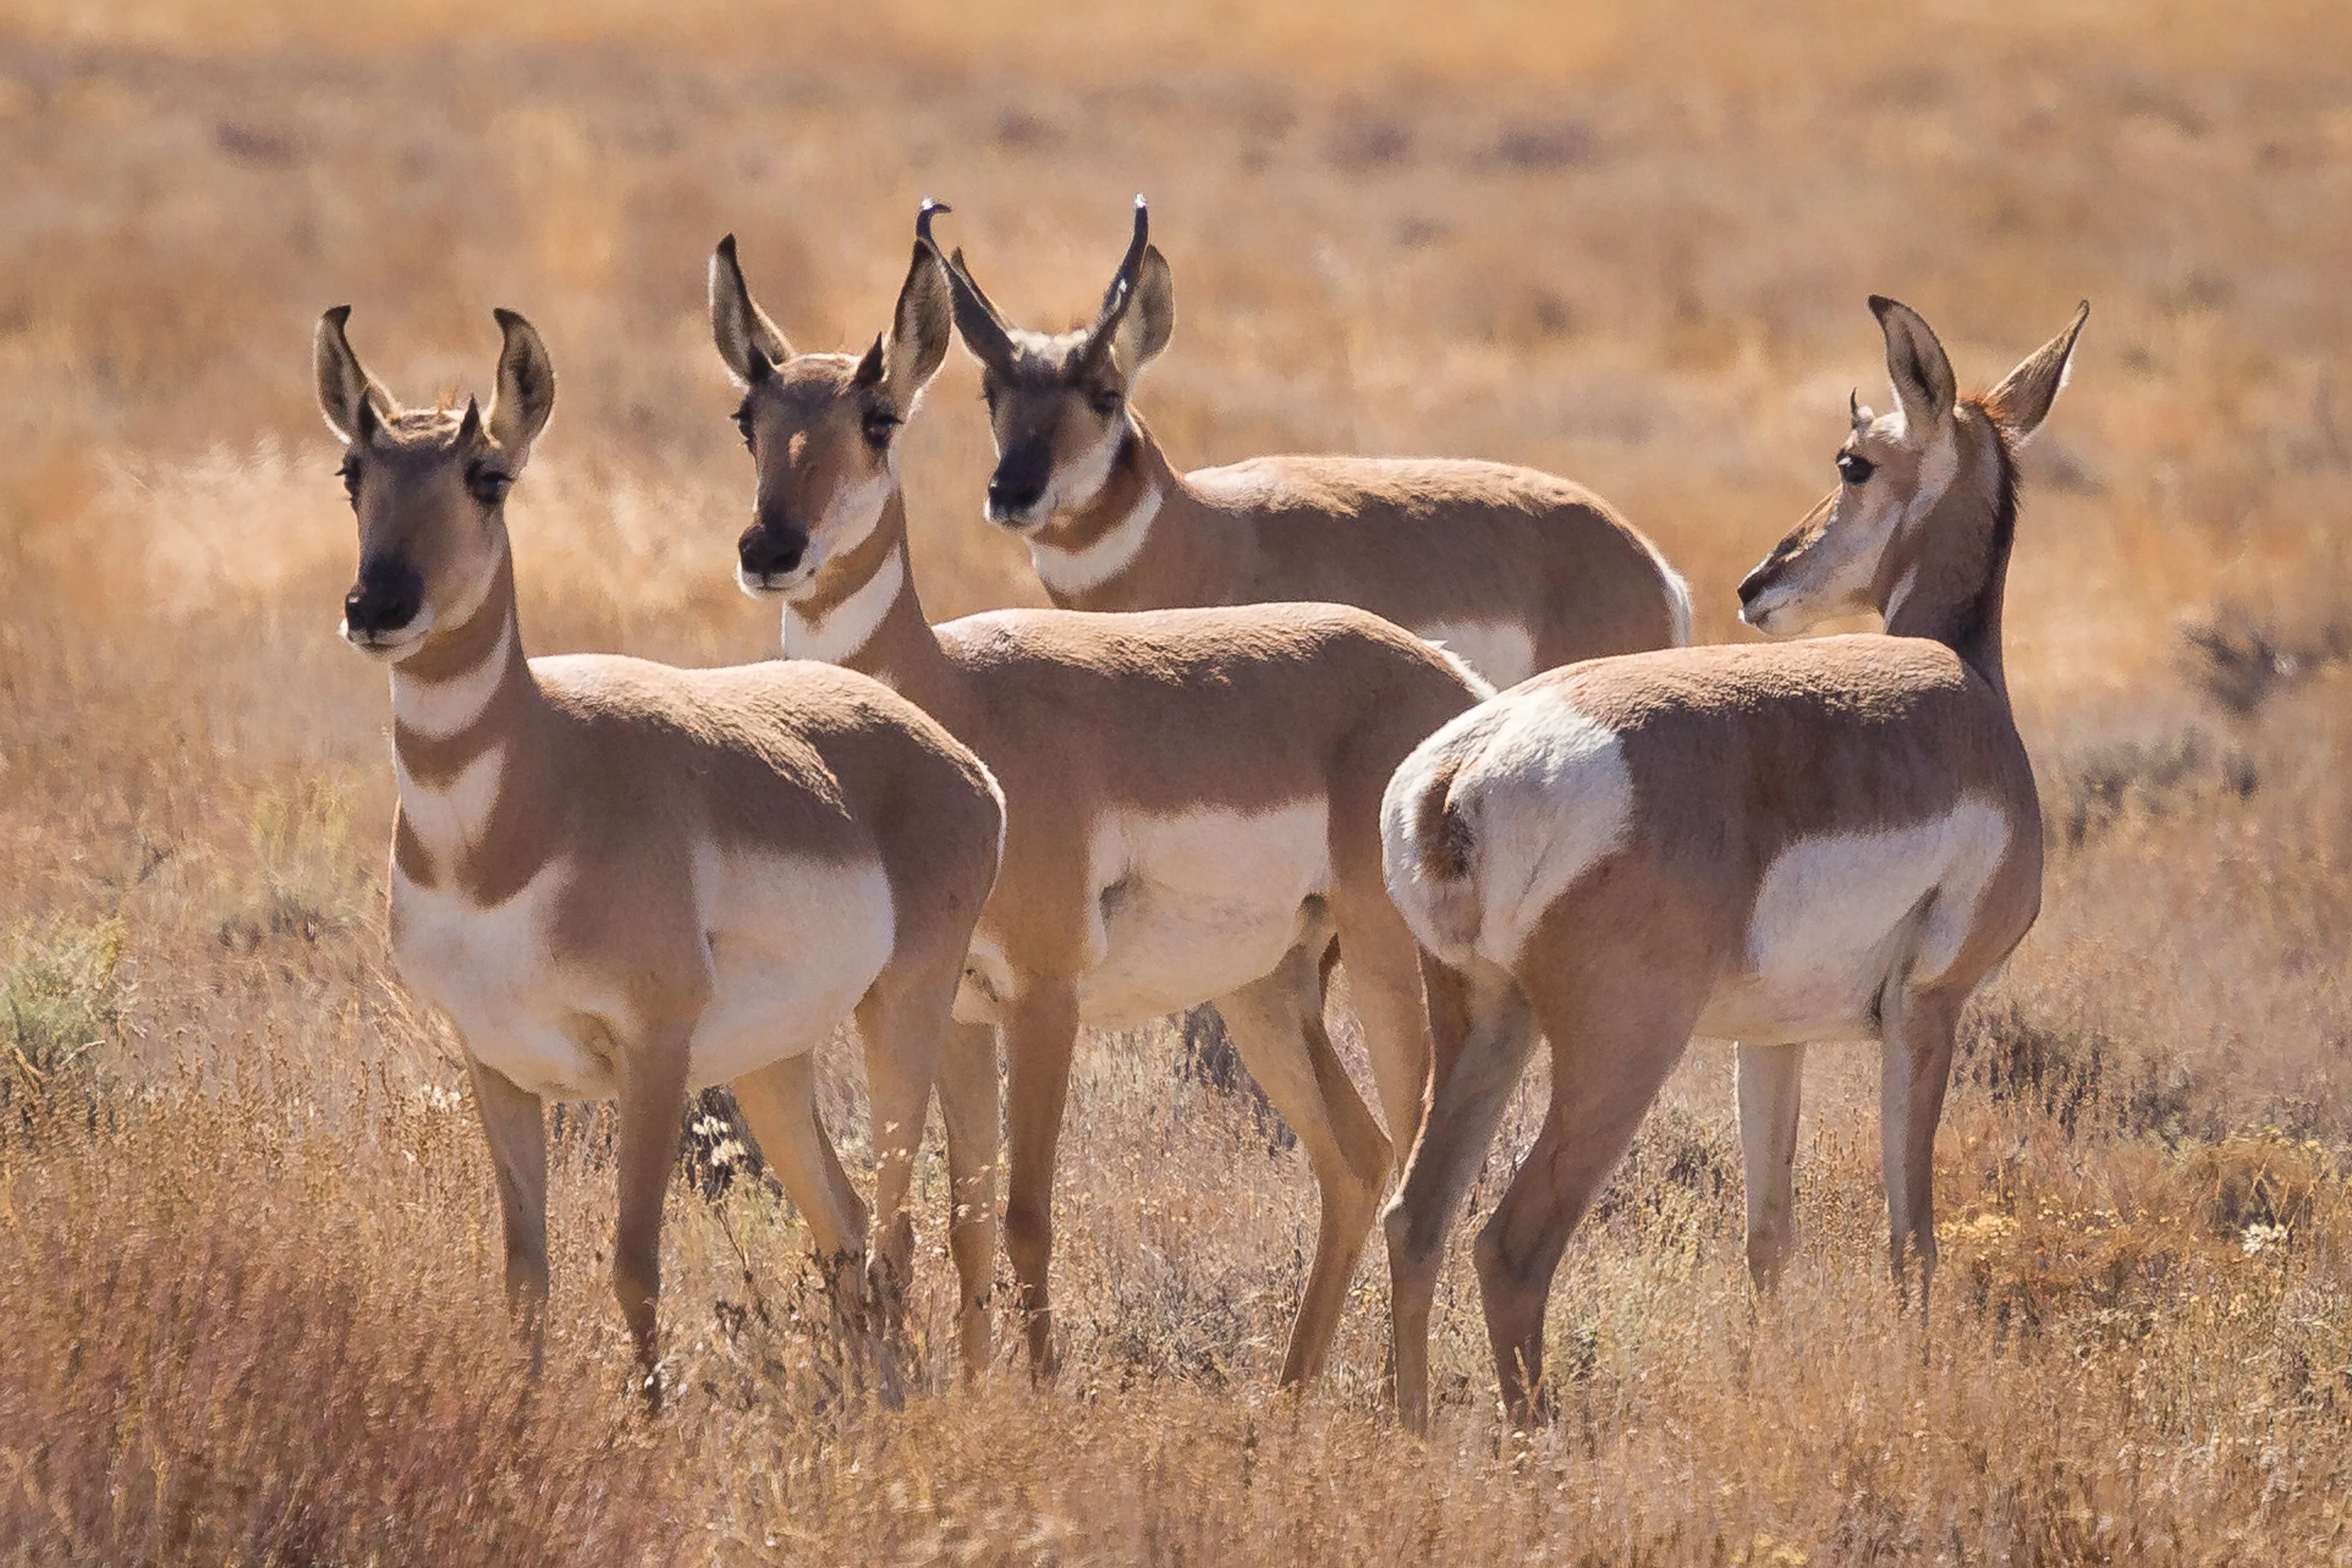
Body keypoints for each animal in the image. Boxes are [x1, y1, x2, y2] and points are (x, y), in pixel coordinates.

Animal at [314, 306, 1005, 1398]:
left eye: (486, 473)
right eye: (354, 470)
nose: (377, 605)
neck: (514, 816)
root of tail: (955, 758)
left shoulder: (653, 1054)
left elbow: (634, 1263)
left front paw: (645, 1419)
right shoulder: (495, 1063)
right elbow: (526, 1275)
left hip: (904, 1014)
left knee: (897, 1231)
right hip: (773, 1064)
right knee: (846, 1225)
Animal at [708, 207, 1489, 1385]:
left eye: (879, 416)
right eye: (750, 415)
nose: (771, 548)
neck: (957, 697)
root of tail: (1451, 685)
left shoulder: (1046, 997)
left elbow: (1029, 1213)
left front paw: (1034, 1396)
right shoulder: (961, 1011)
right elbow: (967, 1220)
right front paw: (977, 1392)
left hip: (1392, 970)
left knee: (1416, 1172)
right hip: (1267, 990)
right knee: (1356, 1160)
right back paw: (1291, 1396)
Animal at [1376, 295, 2089, 1429]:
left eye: (1852, 462)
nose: (1759, 584)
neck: (1964, 682)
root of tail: (1466, 768)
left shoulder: (1774, 1039)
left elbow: (1768, 1237)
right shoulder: (1929, 1012)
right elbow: (1912, 1241)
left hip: (1485, 1025)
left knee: (1419, 1218)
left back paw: (1411, 1434)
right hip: (1619, 1056)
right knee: (1511, 1245)